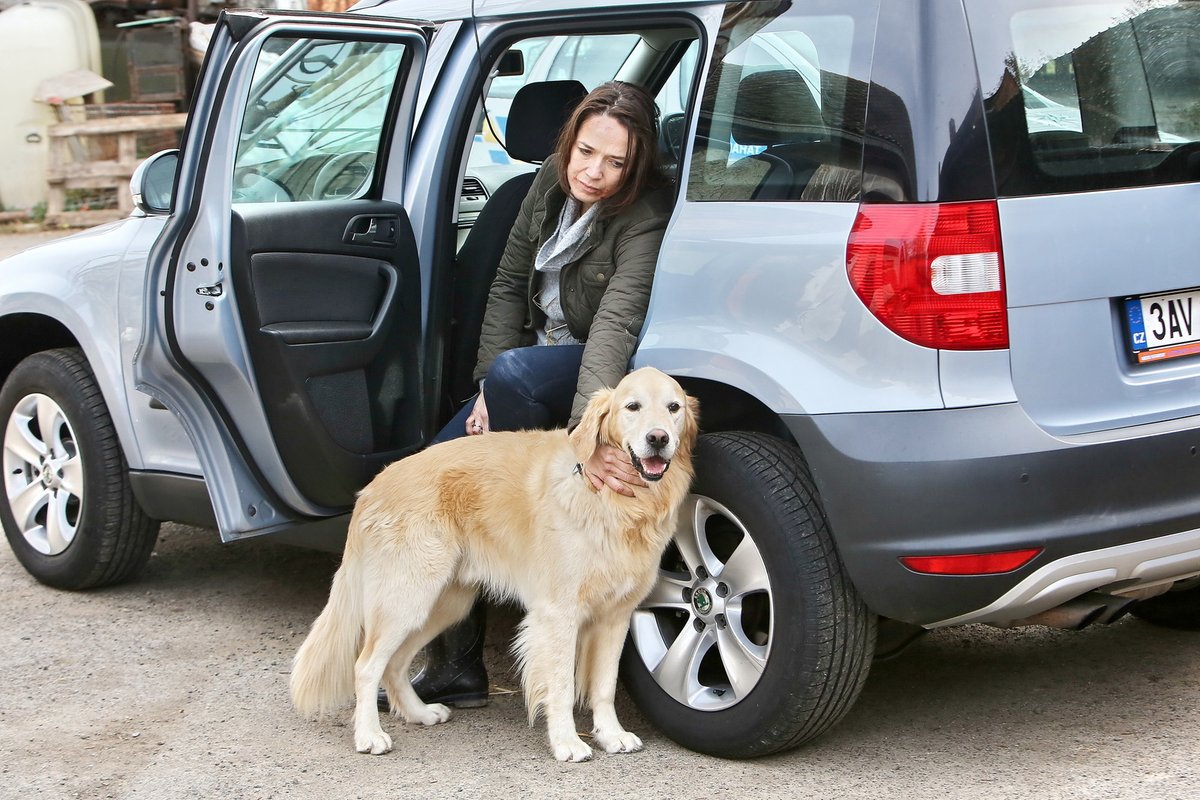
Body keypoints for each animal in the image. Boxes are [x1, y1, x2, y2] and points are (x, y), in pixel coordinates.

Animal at [290, 367, 700, 762]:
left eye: (673, 408)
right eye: (632, 407)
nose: (659, 438)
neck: (616, 503)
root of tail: (373, 485)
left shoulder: (616, 617)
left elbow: (603, 686)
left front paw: (611, 735)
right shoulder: (559, 615)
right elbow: (562, 687)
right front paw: (567, 742)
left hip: (443, 606)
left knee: (394, 664)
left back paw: (420, 712)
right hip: (406, 600)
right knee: (365, 665)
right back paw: (369, 735)